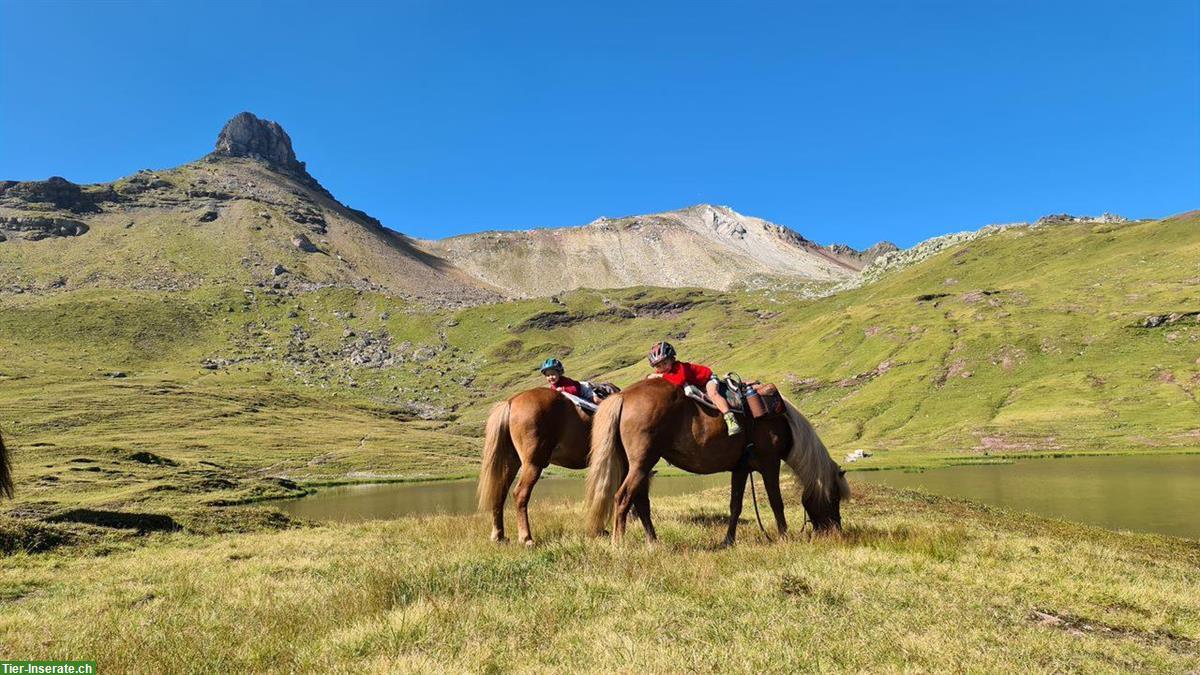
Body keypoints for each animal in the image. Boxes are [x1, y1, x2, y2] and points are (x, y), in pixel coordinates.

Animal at [475, 386, 592, 542]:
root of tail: (511, 401)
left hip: (511, 463)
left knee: (500, 492)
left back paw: (498, 536)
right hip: (533, 464)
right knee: (520, 494)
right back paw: (526, 538)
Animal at [585, 374, 849, 542]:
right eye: (835, 497)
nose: (836, 532)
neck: (780, 421)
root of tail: (623, 396)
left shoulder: (741, 469)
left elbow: (735, 506)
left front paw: (728, 541)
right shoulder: (770, 464)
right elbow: (777, 503)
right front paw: (785, 537)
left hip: (634, 465)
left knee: (640, 502)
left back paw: (653, 542)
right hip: (642, 463)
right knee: (623, 498)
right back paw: (619, 544)